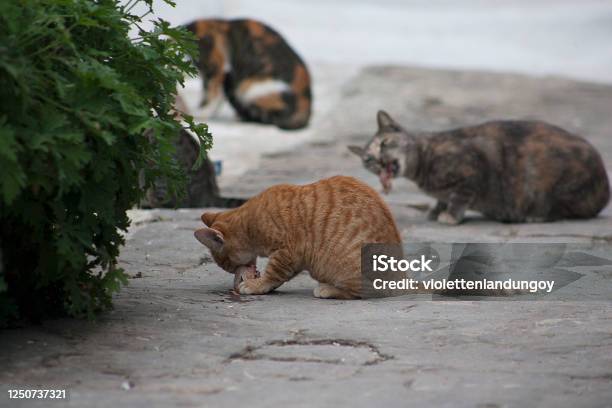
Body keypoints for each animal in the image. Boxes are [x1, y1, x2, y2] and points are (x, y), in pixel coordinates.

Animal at [195, 175, 402, 300]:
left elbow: (274, 273)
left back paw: (328, 289)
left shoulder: (288, 252)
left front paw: (256, 285)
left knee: (363, 291)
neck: (249, 222)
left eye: (227, 265)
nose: (234, 276)